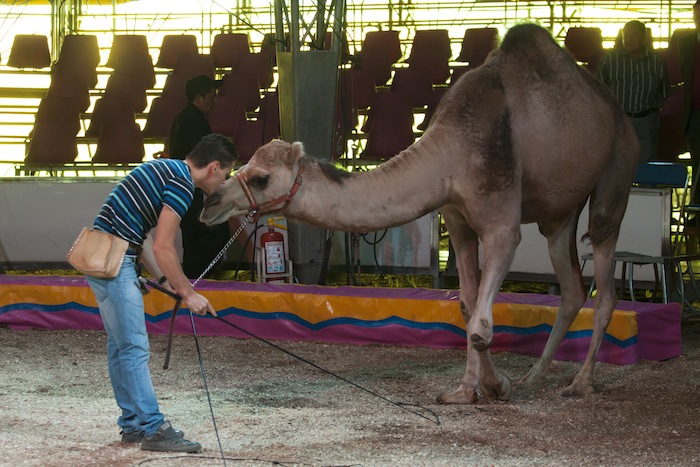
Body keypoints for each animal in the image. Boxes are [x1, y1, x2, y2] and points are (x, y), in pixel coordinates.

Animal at [200, 22, 636, 402]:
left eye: (260, 178)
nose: (210, 202)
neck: (453, 150)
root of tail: (611, 104)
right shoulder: (458, 221)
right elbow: (467, 306)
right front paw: (468, 391)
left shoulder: (500, 225)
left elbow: (480, 324)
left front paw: (496, 387)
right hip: (558, 212)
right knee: (572, 287)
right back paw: (534, 377)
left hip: (615, 170)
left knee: (605, 278)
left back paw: (581, 383)